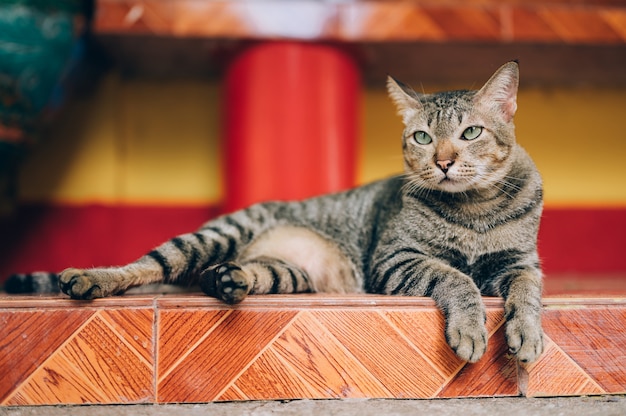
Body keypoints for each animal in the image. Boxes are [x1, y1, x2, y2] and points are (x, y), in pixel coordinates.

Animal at [3, 61, 540, 364]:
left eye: (471, 133)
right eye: (423, 138)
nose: (443, 161)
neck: (473, 211)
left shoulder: (521, 264)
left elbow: (527, 291)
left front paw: (528, 334)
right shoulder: (396, 259)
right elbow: (457, 278)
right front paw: (470, 328)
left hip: (287, 273)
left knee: (230, 275)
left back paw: (228, 280)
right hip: (212, 236)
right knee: (143, 266)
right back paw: (91, 279)